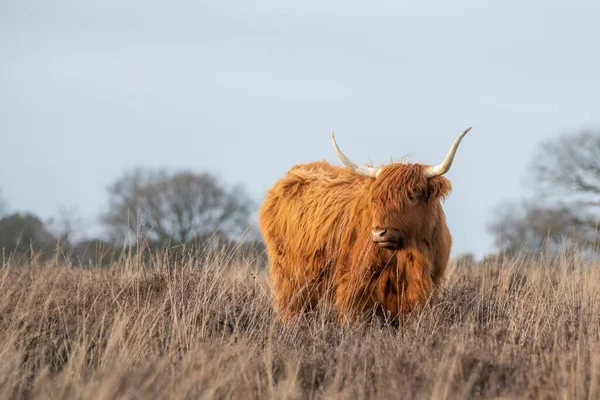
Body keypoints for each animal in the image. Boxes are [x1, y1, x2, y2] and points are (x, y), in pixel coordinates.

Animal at [260, 128, 472, 324]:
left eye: (412, 196)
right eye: (376, 199)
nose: (379, 233)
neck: (410, 255)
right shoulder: (355, 287)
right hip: (288, 276)